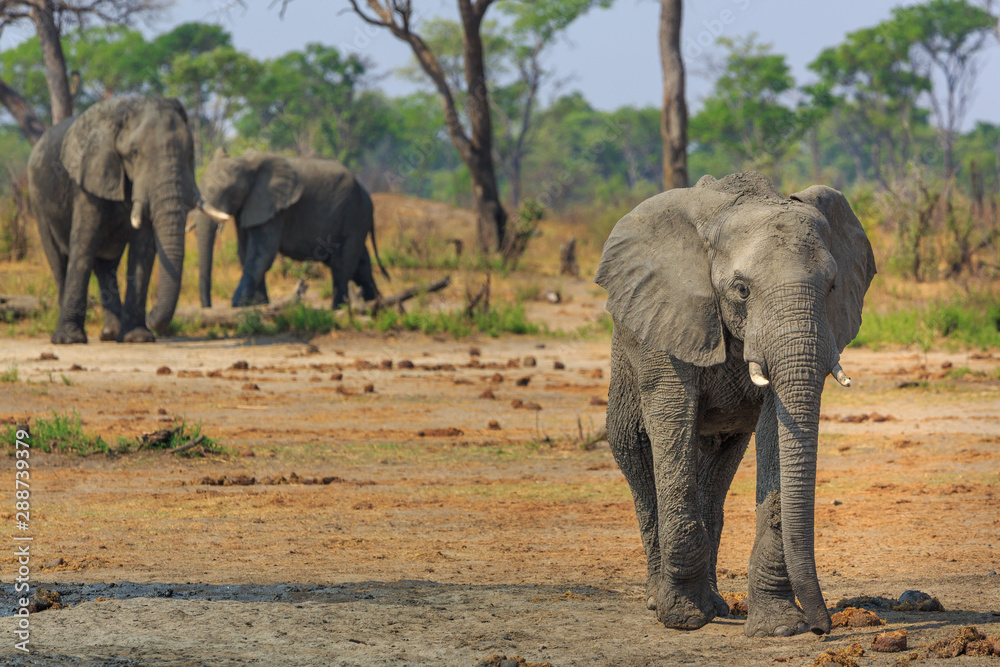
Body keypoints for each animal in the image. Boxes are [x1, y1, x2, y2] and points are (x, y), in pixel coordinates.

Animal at [28, 96, 231, 344]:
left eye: (190, 154)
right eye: (133, 154)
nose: (153, 315)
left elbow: (143, 248)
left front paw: (138, 337)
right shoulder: (88, 179)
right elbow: (84, 243)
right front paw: (69, 340)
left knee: (106, 265)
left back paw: (111, 334)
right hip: (38, 199)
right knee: (58, 259)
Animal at [191, 149, 388, 309]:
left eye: (230, 191)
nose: (208, 307)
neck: (245, 162)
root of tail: (367, 195)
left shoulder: (275, 208)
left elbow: (262, 255)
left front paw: (238, 305)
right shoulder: (249, 208)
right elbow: (245, 253)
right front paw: (260, 306)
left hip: (355, 215)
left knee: (342, 263)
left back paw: (338, 308)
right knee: (360, 264)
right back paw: (373, 303)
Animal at [594, 172, 876, 637]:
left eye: (832, 287)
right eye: (741, 290)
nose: (824, 628)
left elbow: (776, 428)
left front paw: (779, 628)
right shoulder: (670, 318)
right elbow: (671, 418)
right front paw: (683, 619)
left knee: (718, 463)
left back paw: (717, 605)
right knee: (634, 448)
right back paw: (662, 600)